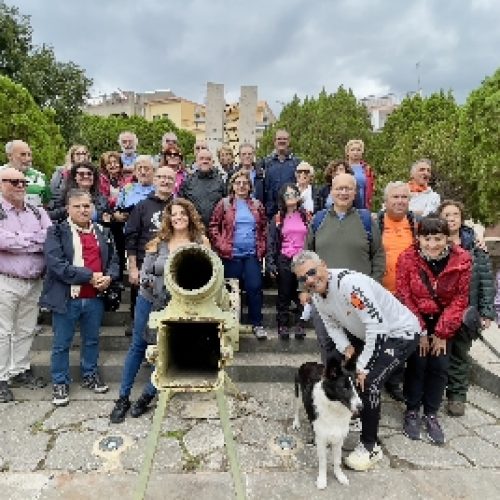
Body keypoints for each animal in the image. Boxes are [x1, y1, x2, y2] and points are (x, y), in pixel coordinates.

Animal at [292, 358, 362, 490]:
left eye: (356, 387)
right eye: (344, 388)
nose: (361, 406)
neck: (334, 409)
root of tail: (308, 363)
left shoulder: (339, 438)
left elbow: (337, 460)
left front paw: (339, 476)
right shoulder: (321, 439)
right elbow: (323, 461)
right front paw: (322, 480)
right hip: (297, 393)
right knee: (296, 409)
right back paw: (296, 423)